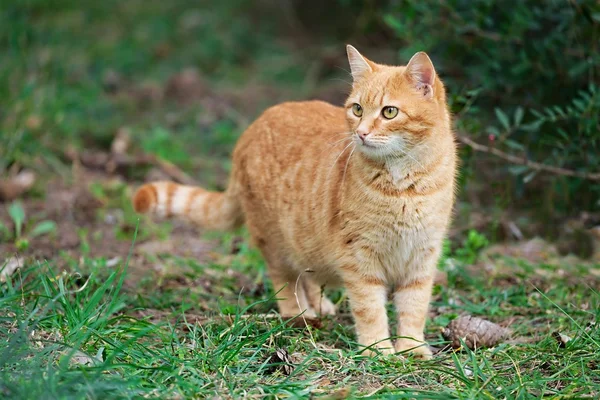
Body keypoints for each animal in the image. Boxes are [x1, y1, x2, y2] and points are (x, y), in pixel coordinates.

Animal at [134, 45, 458, 358]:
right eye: (357, 109)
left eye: (389, 112)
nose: (361, 133)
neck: (404, 185)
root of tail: (252, 128)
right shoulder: (360, 258)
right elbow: (370, 309)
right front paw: (378, 348)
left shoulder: (423, 256)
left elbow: (414, 307)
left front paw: (412, 348)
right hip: (276, 241)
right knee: (286, 280)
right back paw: (299, 313)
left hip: (305, 237)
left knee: (308, 273)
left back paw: (320, 306)